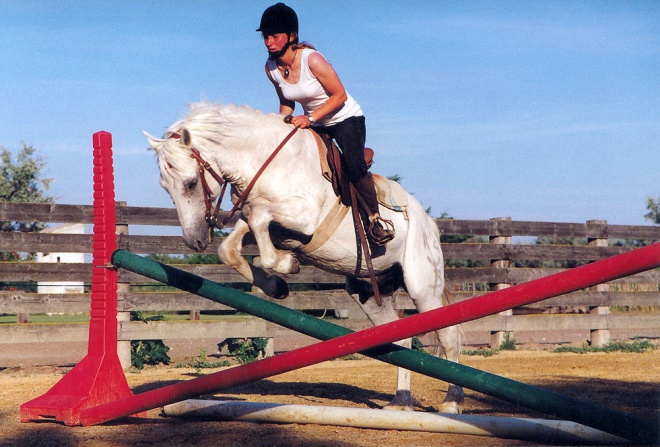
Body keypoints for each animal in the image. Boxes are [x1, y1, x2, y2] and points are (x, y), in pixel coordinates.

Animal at [144, 100, 464, 412]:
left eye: (190, 183)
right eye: (165, 187)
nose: (195, 241)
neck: (265, 160)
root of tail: (429, 223)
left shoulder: (303, 217)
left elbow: (262, 228)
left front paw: (286, 265)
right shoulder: (259, 220)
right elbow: (232, 247)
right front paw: (276, 285)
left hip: (422, 286)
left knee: (448, 336)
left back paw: (452, 401)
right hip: (368, 294)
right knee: (402, 338)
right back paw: (401, 402)